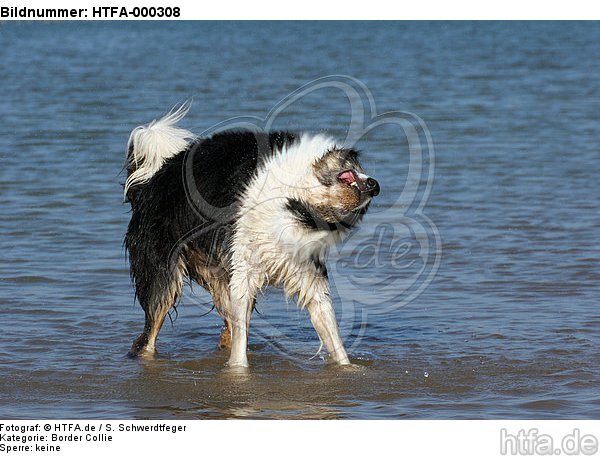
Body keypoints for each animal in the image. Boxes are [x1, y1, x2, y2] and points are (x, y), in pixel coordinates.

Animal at [123, 102, 380, 366]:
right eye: (351, 173)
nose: (376, 186)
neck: (292, 197)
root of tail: (151, 183)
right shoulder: (244, 268)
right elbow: (240, 338)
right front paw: (238, 370)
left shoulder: (305, 269)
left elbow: (329, 329)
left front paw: (348, 368)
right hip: (163, 275)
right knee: (149, 332)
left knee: (226, 329)